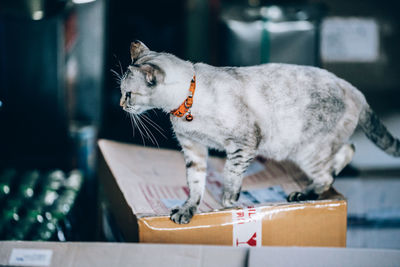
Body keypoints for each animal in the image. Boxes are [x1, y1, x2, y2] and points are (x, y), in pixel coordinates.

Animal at [119, 40, 400, 225]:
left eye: (129, 93)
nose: (121, 105)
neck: (185, 109)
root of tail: (355, 89)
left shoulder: (243, 144)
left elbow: (230, 173)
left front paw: (228, 201)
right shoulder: (193, 149)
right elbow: (195, 185)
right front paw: (188, 211)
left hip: (306, 152)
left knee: (330, 171)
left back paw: (301, 193)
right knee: (344, 155)